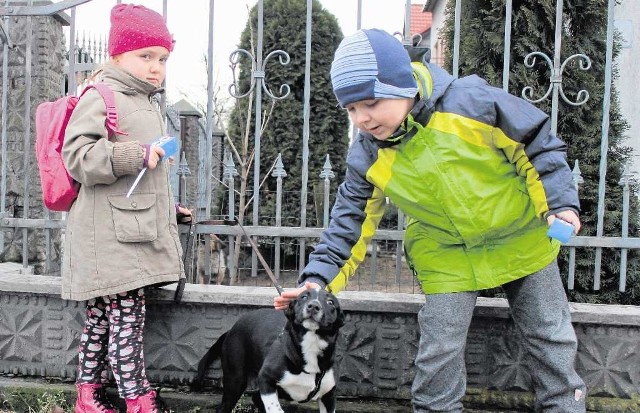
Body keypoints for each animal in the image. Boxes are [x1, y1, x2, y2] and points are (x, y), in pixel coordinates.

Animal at [195, 286, 344, 412]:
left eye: (330, 302)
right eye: (304, 297)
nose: (313, 306)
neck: (311, 346)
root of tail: (231, 330)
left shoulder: (328, 397)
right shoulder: (266, 379)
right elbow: (275, 408)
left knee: (255, 398)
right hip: (235, 381)